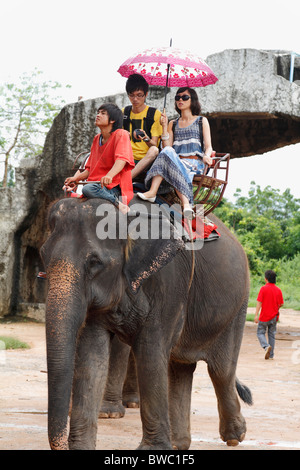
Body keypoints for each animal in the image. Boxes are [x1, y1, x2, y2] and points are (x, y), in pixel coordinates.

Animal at [41, 196, 252, 450]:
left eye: (94, 262)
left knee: (220, 370)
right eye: (43, 256)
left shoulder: (169, 283)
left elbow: (150, 352)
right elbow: (91, 354)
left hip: (238, 306)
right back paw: (179, 444)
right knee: (180, 368)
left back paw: (235, 436)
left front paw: (153, 449)